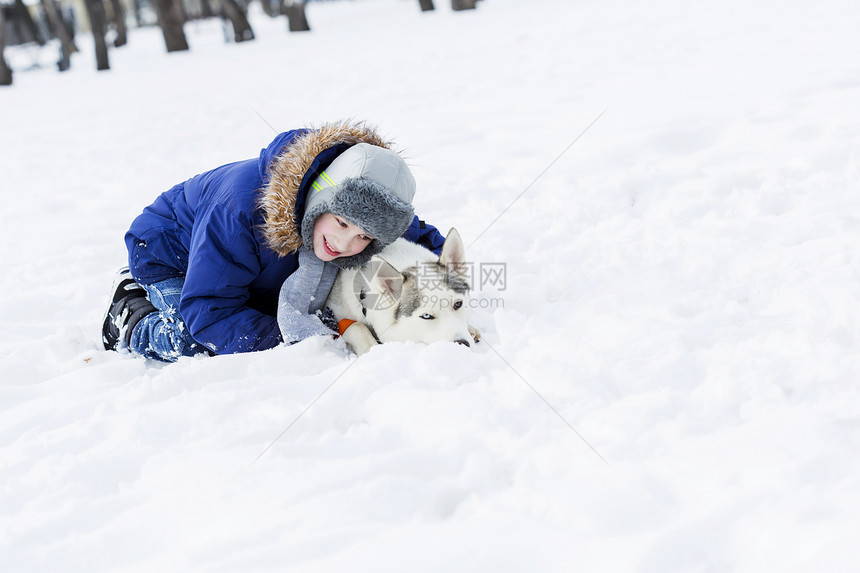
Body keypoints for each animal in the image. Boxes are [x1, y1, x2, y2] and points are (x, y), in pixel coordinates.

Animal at [326, 227, 480, 354]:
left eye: (458, 304)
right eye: (426, 316)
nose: (462, 345)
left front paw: (470, 328)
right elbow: (356, 326)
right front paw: (373, 350)